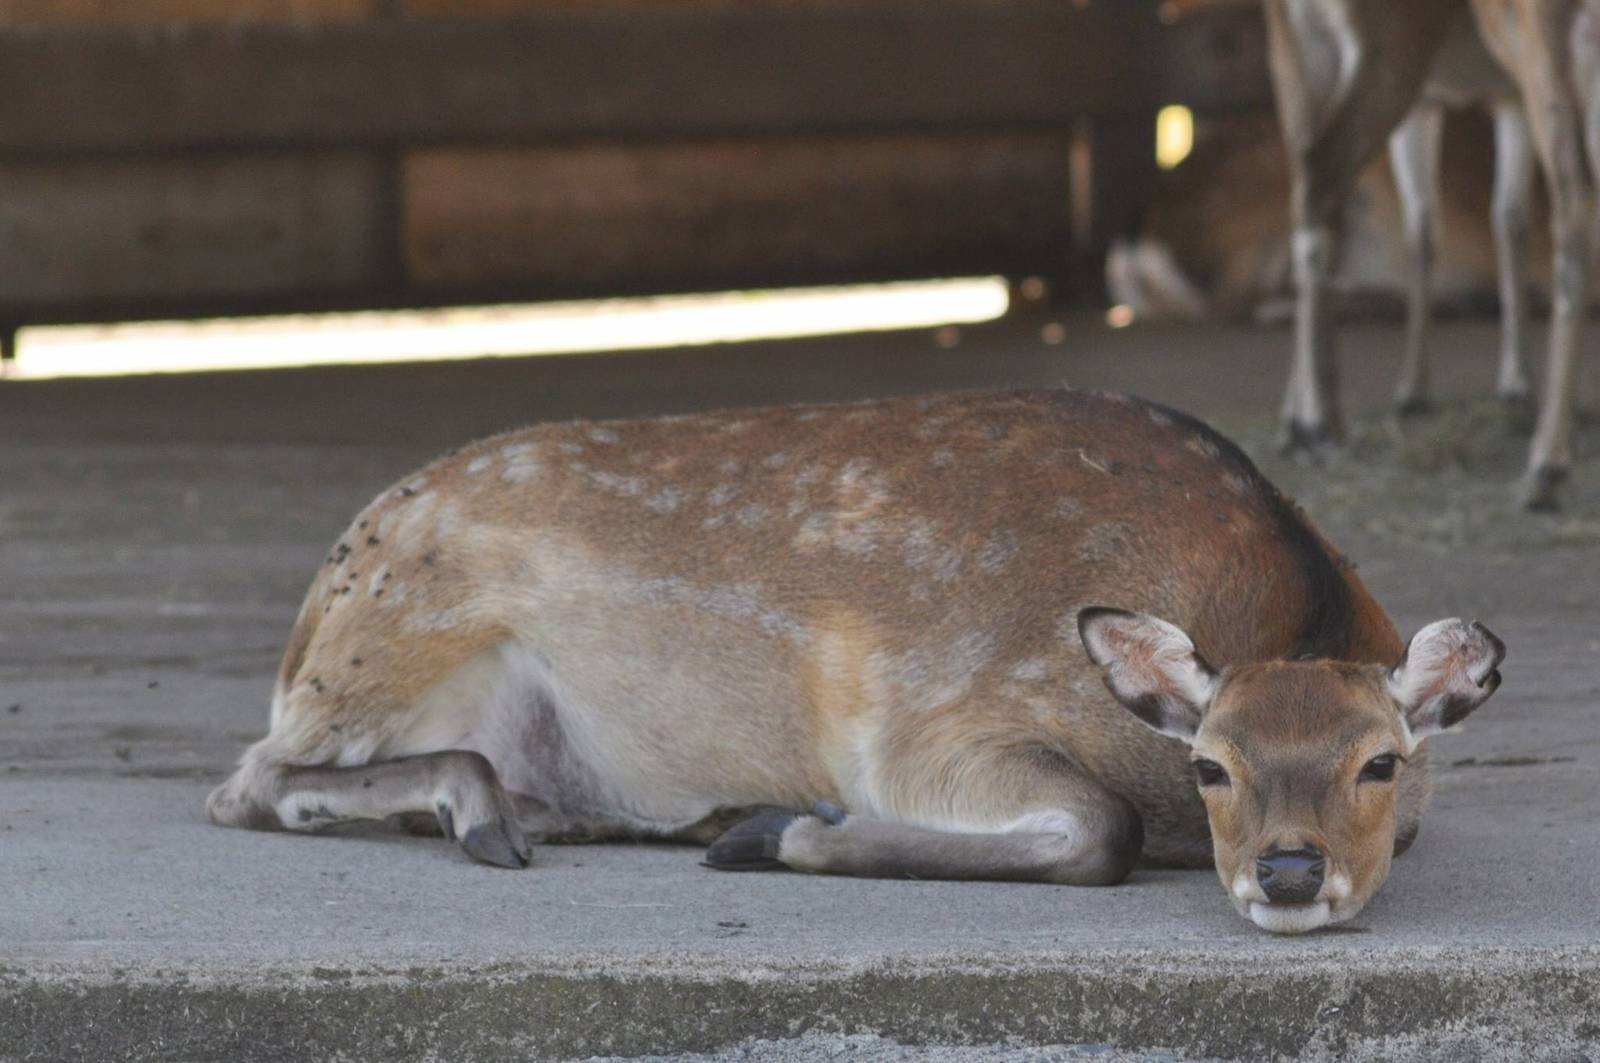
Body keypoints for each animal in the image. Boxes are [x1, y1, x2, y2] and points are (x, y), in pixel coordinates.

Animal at [206, 388, 1506, 934]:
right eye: (1210, 767)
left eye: (1381, 763)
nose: (1287, 873)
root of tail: (314, 603)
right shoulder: (931, 721)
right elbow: (1103, 827)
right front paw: (778, 833)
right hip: (385, 637)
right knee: (248, 783)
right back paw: (487, 812)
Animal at [1265, 0, 1598, 510]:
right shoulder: (1507, 88)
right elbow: (1499, 218)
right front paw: (1512, 389)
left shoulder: (1475, 97)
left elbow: (1465, 222)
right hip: (1395, 49)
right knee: (1321, 179)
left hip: (1299, 56)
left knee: (1309, 183)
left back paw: (1312, 422)